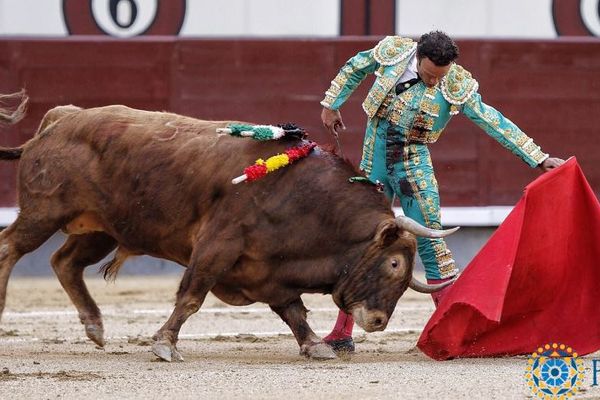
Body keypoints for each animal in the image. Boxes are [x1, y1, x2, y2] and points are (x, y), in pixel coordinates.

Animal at [0, 92, 454, 360]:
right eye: (394, 264)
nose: (378, 322)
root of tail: (61, 119)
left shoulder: (272, 271)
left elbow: (293, 311)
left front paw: (314, 347)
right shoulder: (217, 245)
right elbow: (191, 297)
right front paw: (164, 345)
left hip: (101, 229)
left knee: (64, 263)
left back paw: (95, 327)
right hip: (45, 211)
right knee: (11, 247)